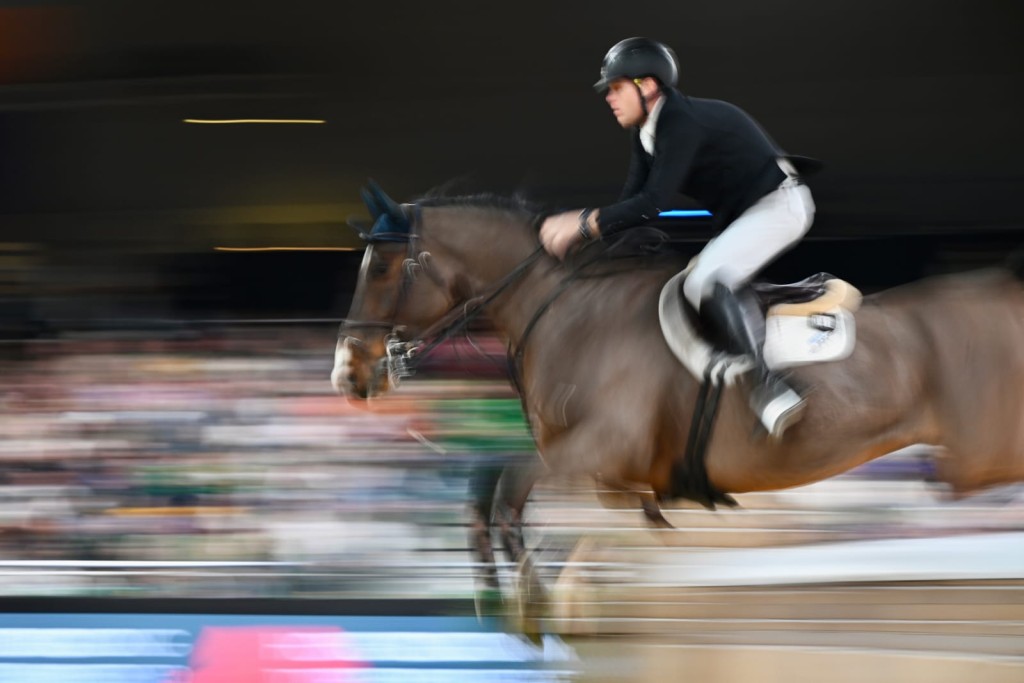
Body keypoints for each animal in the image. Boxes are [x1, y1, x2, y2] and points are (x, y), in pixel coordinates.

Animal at [331, 184, 1024, 622]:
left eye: (384, 269)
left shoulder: (594, 450)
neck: (564, 312)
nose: (348, 374)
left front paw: (530, 596)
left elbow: (503, 490)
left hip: (984, 451)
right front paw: (522, 592)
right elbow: (497, 496)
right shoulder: (613, 476)